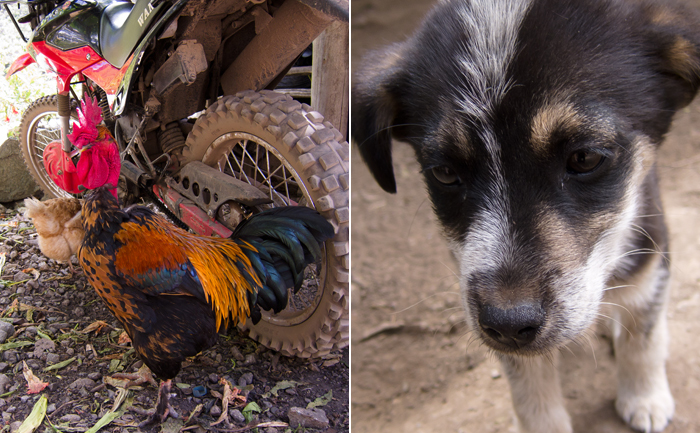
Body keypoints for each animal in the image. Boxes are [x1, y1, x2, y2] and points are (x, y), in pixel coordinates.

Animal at [352, 0, 700, 432]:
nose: (507, 323)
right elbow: (528, 390)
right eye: (445, 173)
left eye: (585, 158)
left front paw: (645, 397)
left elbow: (644, 335)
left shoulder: (649, 247)